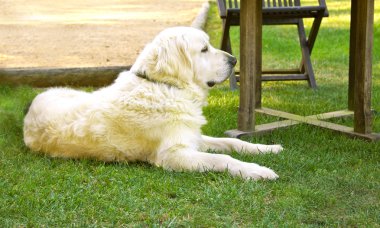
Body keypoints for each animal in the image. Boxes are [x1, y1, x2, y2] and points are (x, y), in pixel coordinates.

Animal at [23, 26, 282, 180]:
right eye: (204, 49)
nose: (234, 60)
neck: (166, 86)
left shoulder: (193, 137)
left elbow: (232, 142)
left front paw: (267, 148)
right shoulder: (174, 154)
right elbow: (222, 158)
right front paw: (257, 171)